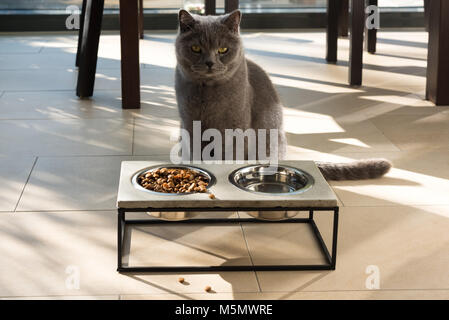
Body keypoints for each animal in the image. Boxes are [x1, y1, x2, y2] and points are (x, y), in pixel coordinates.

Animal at [173, 10, 390, 180]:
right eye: (196, 48)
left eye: (223, 49)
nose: (210, 63)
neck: (207, 93)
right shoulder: (188, 122)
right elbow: (195, 153)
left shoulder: (233, 127)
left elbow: (228, 154)